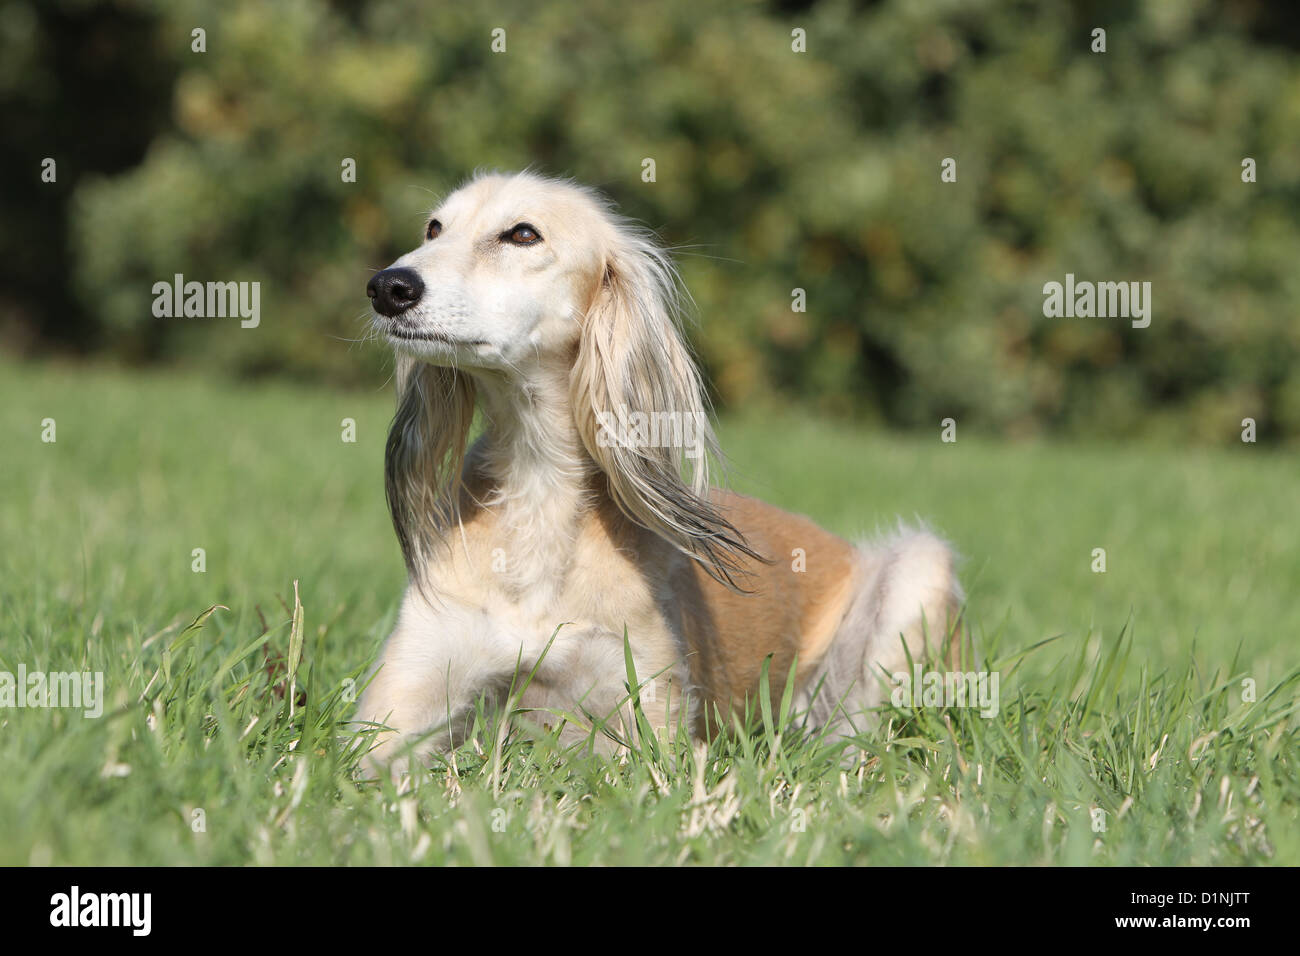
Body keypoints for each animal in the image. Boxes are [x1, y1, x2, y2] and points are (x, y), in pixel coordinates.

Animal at [361, 170, 961, 770]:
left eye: (523, 234)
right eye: (434, 228)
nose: (388, 287)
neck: (539, 490)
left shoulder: (650, 730)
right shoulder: (400, 709)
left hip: (918, 569)